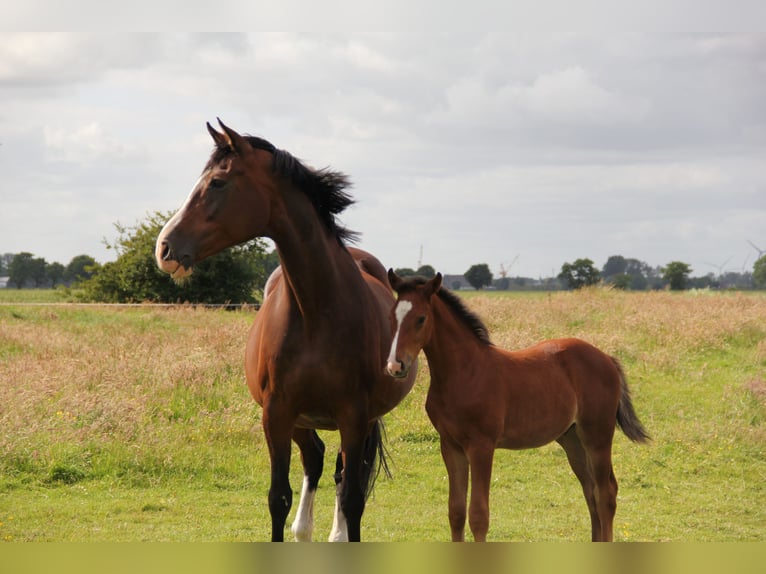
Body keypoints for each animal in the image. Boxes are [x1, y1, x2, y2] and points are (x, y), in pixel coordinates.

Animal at [154, 119, 417, 541]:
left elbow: (353, 499)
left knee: (345, 473)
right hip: (300, 420)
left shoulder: (354, 416)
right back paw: (304, 529)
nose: (164, 248)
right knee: (316, 459)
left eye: (217, 183)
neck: (316, 311)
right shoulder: (276, 414)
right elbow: (278, 496)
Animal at [385, 271, 650, 542]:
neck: (464, 373)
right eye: (392, 316)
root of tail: (606, 358)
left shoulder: (481, 446)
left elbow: (479, 515)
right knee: (591, 491)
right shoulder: (450, 445)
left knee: (606, 492)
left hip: (598, 435)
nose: (396, 366)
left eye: (421, 318)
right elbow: (456, 512)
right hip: (572, 439)